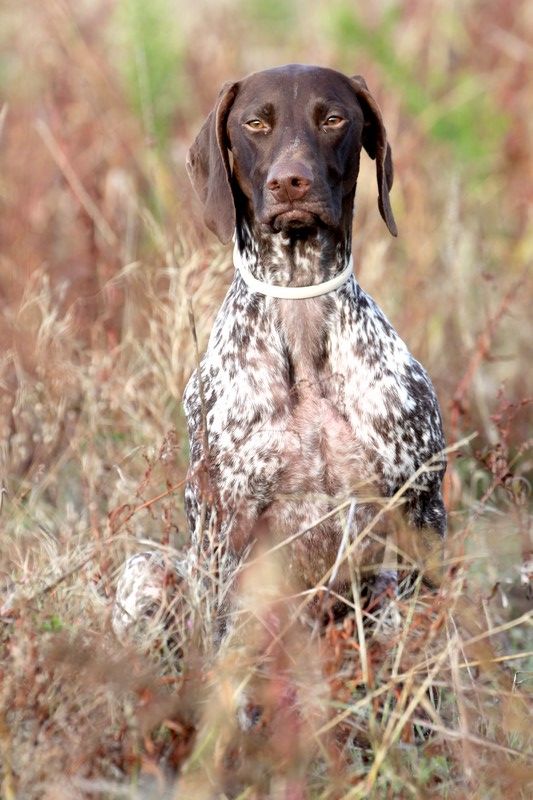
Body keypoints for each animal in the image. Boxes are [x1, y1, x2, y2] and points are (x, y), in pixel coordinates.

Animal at [112, 65, 444, 644]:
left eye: (333, 118)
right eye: (255, 123)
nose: (291, 183)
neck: (301, 302)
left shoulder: (422, 506)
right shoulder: (222, 523)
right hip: (145, 571)